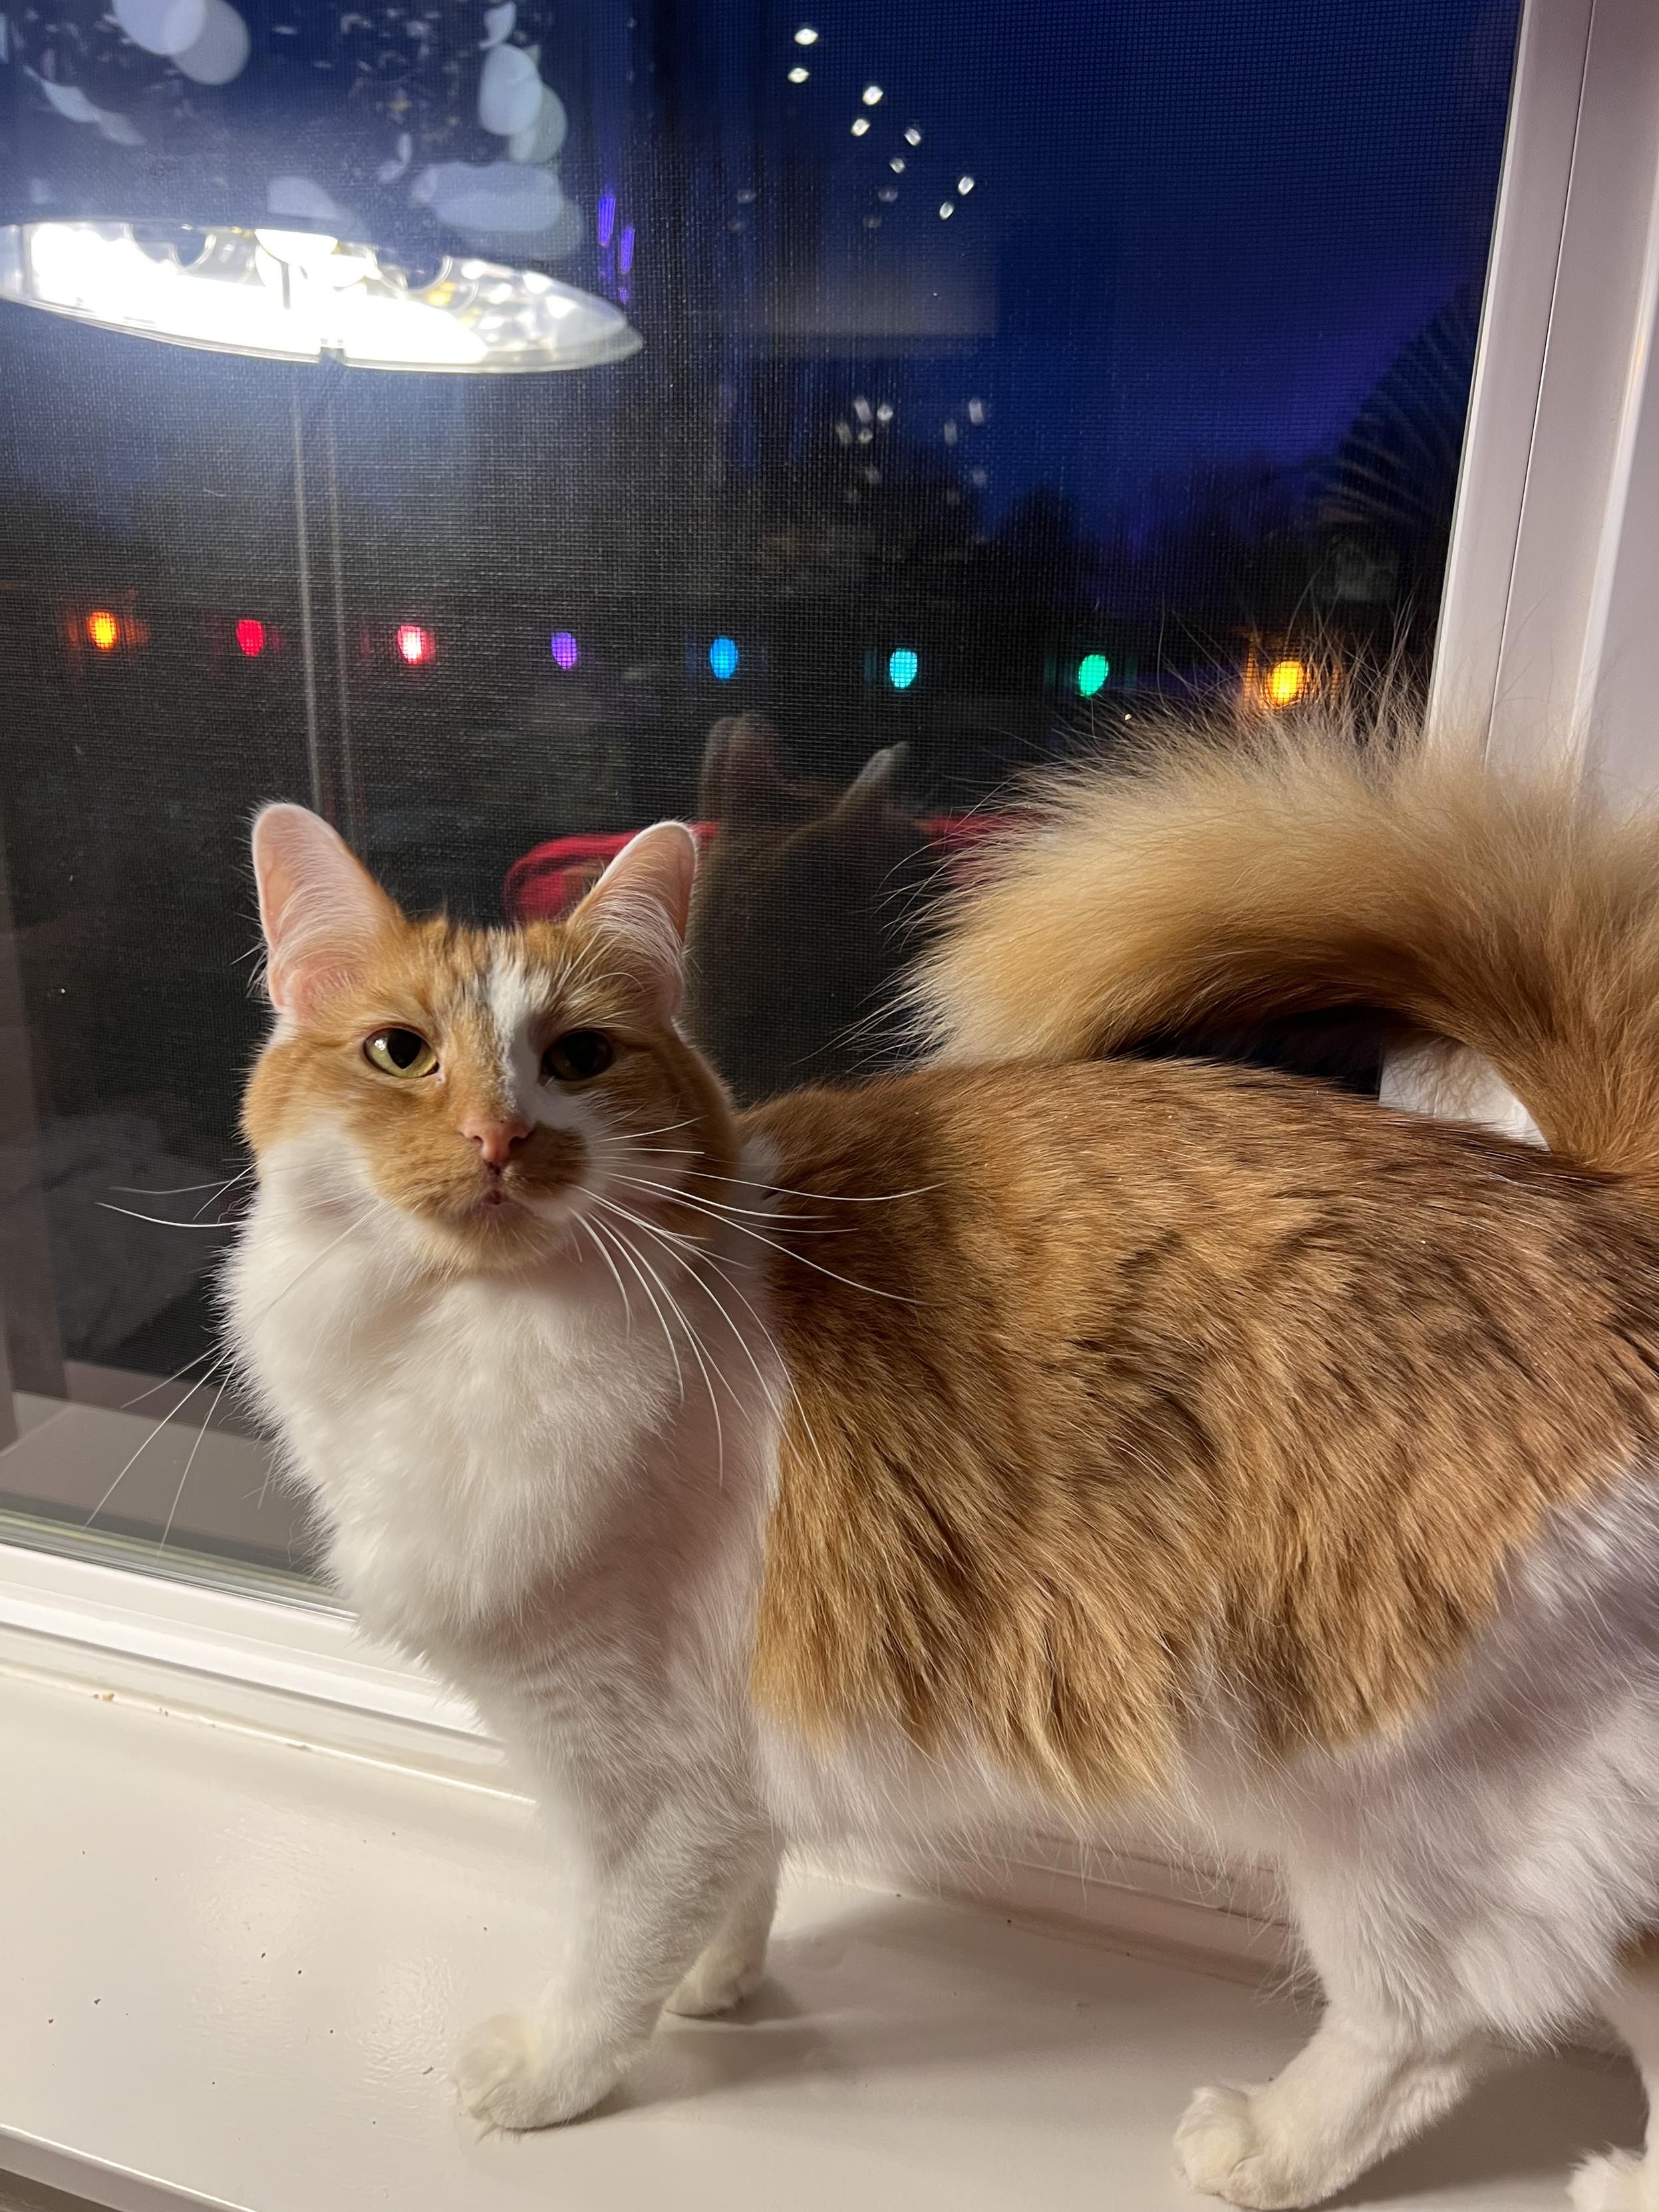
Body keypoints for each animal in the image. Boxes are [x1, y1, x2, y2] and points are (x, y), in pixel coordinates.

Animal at [227, 724, 1659, 2212]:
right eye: (398, 1054)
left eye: (576, 1058)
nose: (498, 1143)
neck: (464, 1339)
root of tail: (1599, 1197)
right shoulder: (714, 1774)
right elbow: (732, 1897)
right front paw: (716, 1988)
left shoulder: (648, 1768)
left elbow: (612, 1958)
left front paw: (551, 2074)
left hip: (1414, 1810)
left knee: (1431, 2024)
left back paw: (1263, 2146)